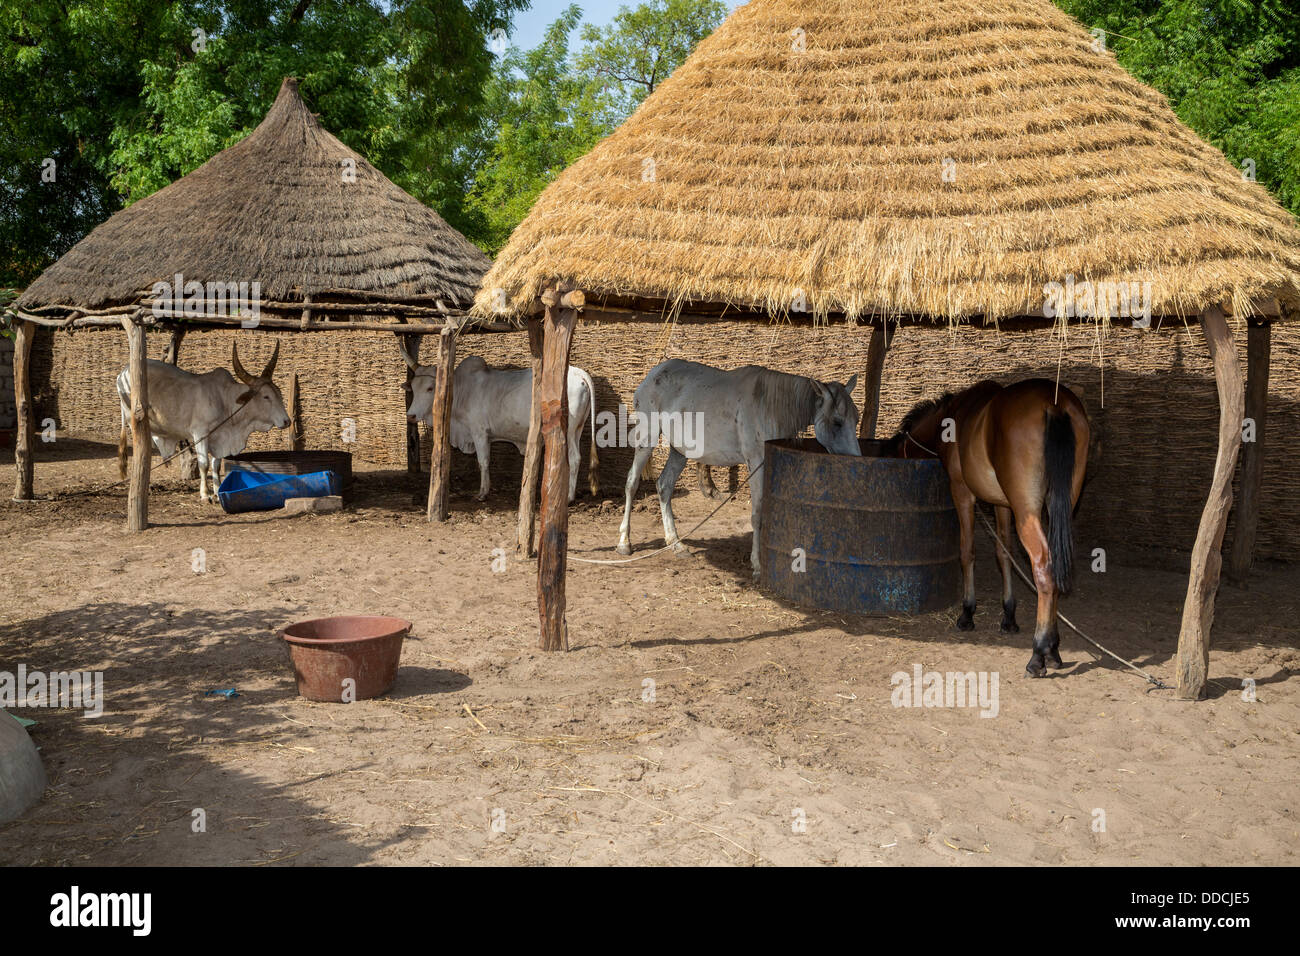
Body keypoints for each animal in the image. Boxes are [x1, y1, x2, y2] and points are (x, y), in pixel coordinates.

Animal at [882, 379, 1090, 677]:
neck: (954, 416)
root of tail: (1055, 404)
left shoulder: (962, 494)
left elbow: (967, 551)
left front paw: (967, 613)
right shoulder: (1001, 505)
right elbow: (1003, 554)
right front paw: (1009, 616)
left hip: (1027, 511)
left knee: (1044, 569)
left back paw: (1039, 652)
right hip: (1059, 503)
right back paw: (1053, 650)